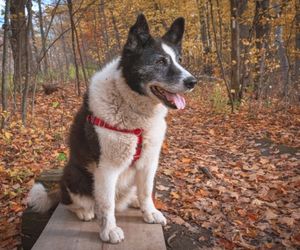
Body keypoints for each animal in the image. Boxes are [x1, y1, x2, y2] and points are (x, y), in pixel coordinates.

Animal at [27, 14, 197, 244]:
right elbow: (106, 205)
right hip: (74, 175)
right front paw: (108, 231)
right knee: (71, 202)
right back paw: (84, 211)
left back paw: (134, 201)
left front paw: (149, 212)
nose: (192, 82)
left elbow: (146, 191)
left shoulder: (149, 162)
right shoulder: (107, 168)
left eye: (179, 60)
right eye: (160, 61)